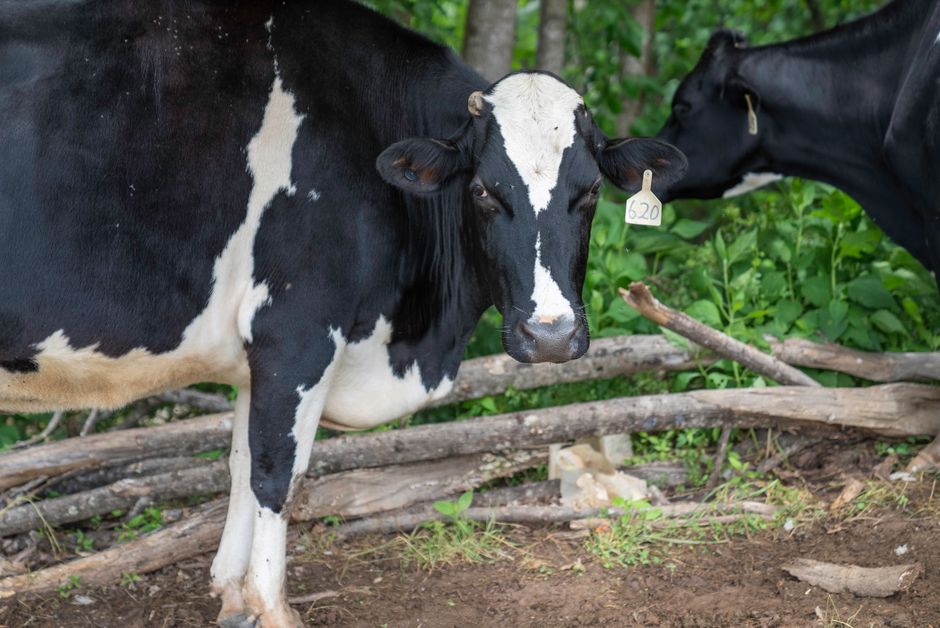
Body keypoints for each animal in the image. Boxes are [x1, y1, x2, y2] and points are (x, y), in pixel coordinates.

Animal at [0, 1, 686, 625]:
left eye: (590, 191)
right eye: (484, 191)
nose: (550, 335)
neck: (413, 338)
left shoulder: (260, 353)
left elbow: (242, 464)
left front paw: (233, 596)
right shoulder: (297, 328)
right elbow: (277, 470)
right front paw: (272, 607)